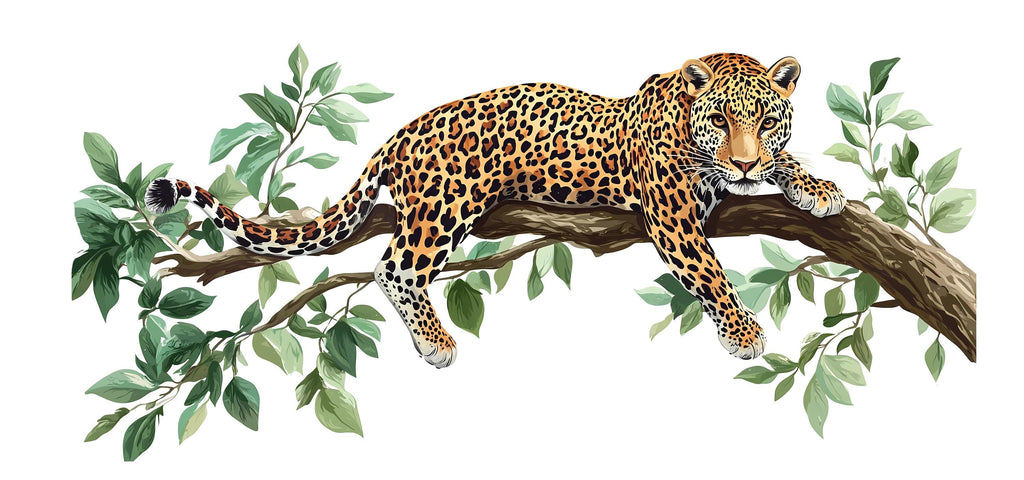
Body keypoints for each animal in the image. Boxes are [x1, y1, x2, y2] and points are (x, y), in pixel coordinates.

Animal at [146, 53, 846, 369]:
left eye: (765, 120)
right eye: (722, 119)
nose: (744, 166)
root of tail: (402, 132)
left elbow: (785, 165)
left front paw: (817, 187)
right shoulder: (672, 215)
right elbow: (709, 271)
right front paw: (744, 333)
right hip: (446, 203)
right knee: (394, 268)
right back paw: (435, 343)